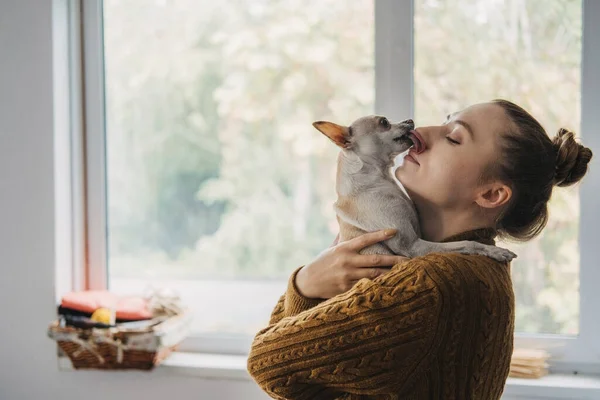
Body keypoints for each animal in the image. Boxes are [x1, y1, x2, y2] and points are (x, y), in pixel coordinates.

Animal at [314, 114, 516, 262]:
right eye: (384, 122)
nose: (409, 120)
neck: (380, 178)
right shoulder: (412, 245)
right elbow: (468, 243)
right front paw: (494, 251)